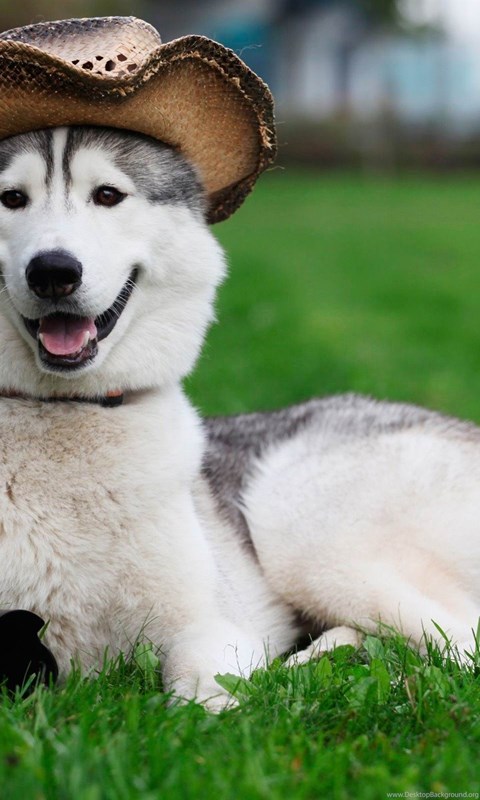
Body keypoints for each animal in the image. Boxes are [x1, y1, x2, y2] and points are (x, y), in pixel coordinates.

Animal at [0, 125, 478, 709]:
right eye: (11, 198)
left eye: (107, 195)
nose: (52, 272)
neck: (65, 409)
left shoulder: (211, 627)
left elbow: (200, 706)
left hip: (300, 527)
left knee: (461, 646)